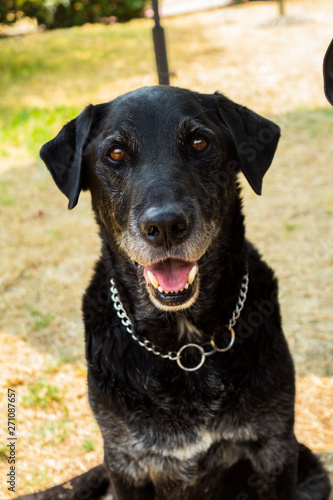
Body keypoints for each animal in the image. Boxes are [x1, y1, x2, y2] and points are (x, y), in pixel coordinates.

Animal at [34, 88, 330, 500]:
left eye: (199, 142)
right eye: (116, 153)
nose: (165, 226)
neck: (184, 345)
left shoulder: (275, 448)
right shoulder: (125, 462)